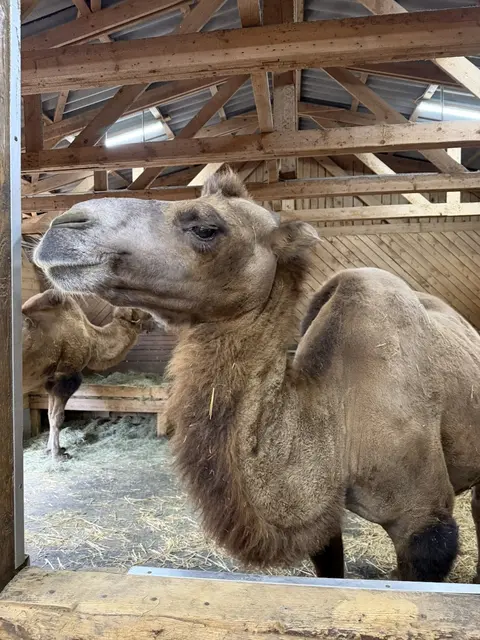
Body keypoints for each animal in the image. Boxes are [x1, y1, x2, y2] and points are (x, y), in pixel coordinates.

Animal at [23, 289, 153, 459]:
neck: (91, 336)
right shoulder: (66, 376)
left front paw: (50, 450)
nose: (154, 316)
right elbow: (58, 417)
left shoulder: (50, 381)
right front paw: (58, 455)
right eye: (140, 307)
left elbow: (50, 414)